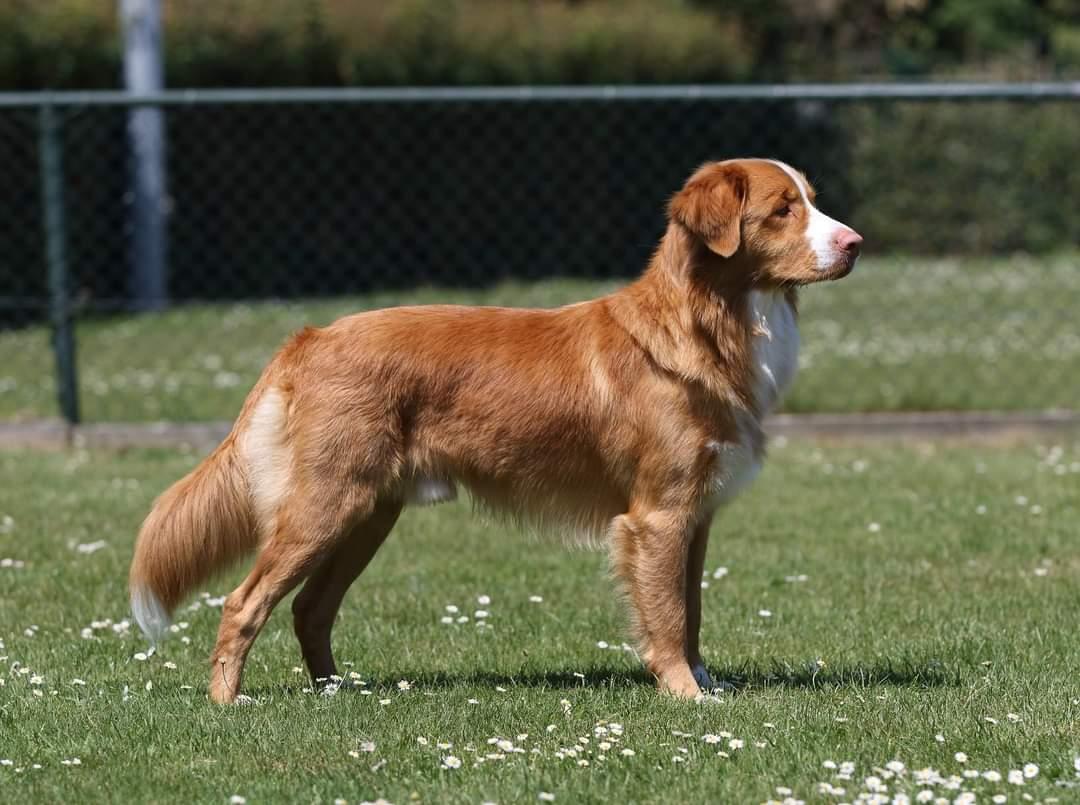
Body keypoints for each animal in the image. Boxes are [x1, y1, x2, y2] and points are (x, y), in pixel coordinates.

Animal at [130, 155, 864, 695]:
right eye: (783, 209)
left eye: (812, 199)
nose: (856, 243)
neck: (708, 326)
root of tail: (311, 336)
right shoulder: (659, 514)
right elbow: (667, 614)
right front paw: (684, 693)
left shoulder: (696, 514)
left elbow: (691, 610)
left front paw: (707, 685)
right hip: (325, 505)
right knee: (243, 601)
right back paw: (228, 702)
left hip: (367, 512)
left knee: (311, 607)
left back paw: (336, 691)